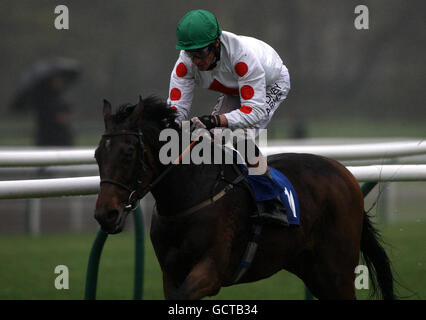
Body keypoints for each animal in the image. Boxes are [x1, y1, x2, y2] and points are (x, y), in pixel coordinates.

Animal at [94, 95, 396, 300]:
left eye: (128, 153)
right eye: (97, 155)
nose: (105, 214)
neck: (189, 195)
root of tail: (345, 173)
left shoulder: (211, 271)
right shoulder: (171, 273)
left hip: (337, 270)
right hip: (309, 267)